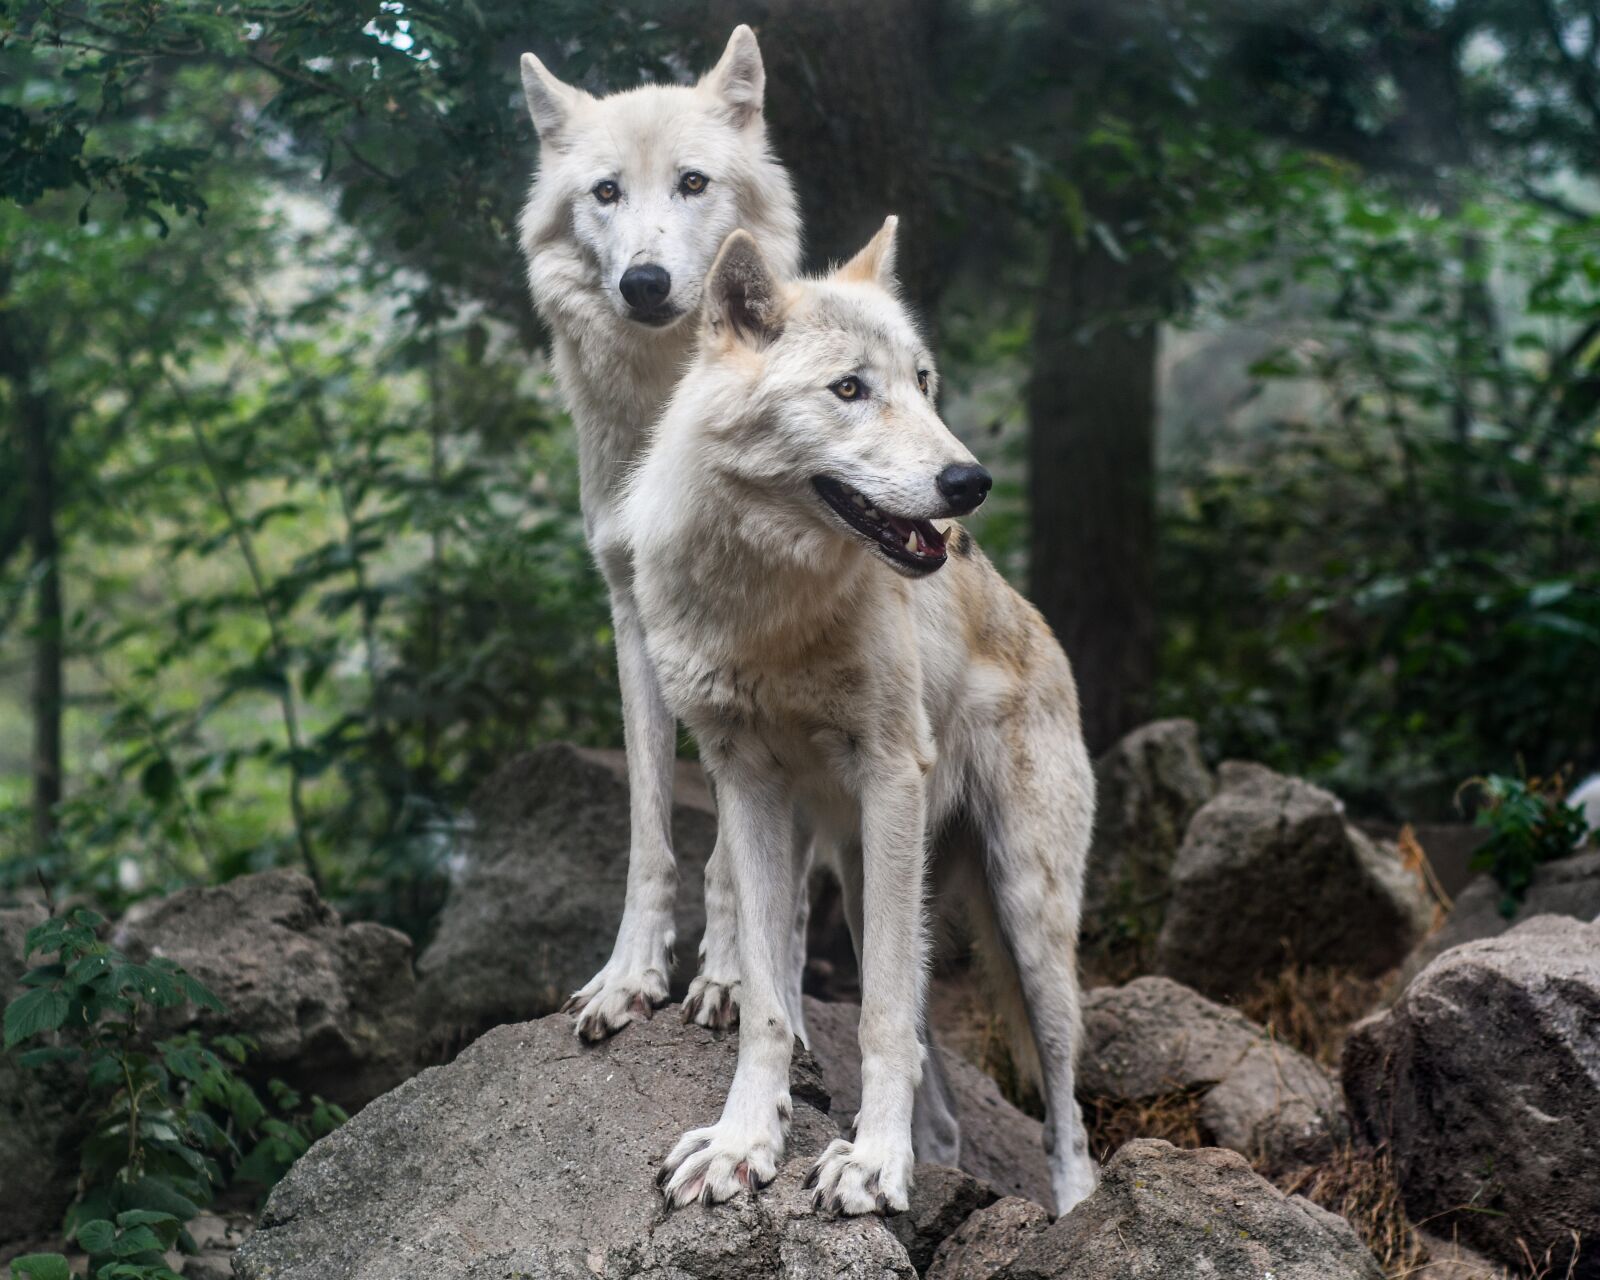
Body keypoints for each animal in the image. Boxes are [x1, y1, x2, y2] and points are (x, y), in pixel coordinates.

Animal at [517, 27, 801, 1040]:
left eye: (691, 182)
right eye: (607, 191)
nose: (644, 282)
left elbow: (734, 853)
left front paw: (729, 979)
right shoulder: (633, 617)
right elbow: (649, 829)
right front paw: (628, 977)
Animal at [623, 220, 1100, 1216]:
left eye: (923, 382)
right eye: (850, 389)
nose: (970, 481)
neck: (772, 609)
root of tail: (1037, 625)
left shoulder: (889, 776)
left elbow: (879, 1016)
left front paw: (874, 1163)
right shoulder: (746, 787)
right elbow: (768, 1000)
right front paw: (743, 1143)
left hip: (1026, 918)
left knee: (1066, 1110)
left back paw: (1076, 1211)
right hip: (867, 873)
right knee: (945, 1095)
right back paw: (938, 1158)